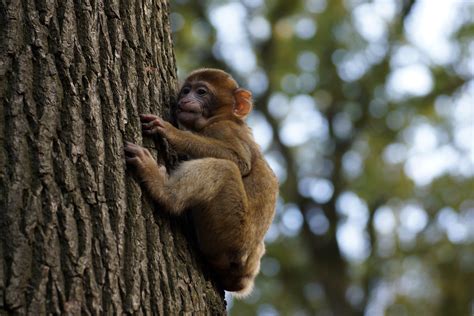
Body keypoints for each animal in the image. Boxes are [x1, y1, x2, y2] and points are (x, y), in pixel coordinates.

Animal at [125, 67, 278, 296]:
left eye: (201, 92)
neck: (219, 118)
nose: (185, 99)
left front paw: (172, 132)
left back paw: (162, 188)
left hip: (231, 232)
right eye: (186, 90)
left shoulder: (223, 129)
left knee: (224, 168)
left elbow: (239, 161)